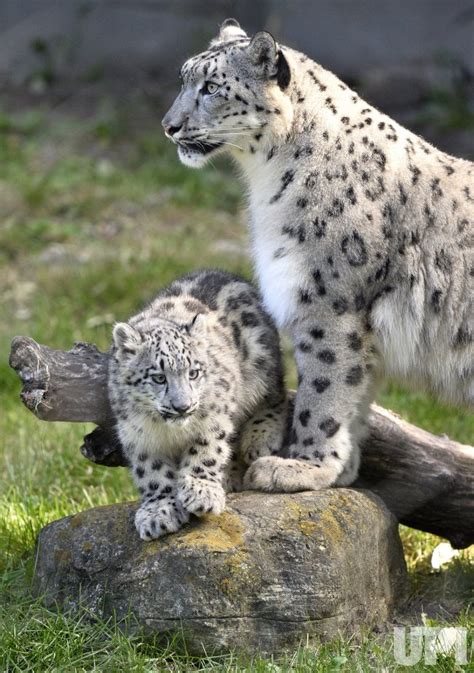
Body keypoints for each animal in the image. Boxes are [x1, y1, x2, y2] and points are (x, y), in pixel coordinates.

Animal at [108, 270, 286, 540]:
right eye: (158, 377)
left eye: (193, 373)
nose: (182, 406)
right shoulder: (137, 435)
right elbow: (151, 471)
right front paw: (159, 511)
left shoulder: (214, 416)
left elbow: (207, 450)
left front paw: (201, 492)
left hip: (262, 365)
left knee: (277, 395)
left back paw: (259, 437)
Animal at [161, 18, 472, 490]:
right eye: (182, 79)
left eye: (212, 87)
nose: (169, 126)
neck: (266, 185)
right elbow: (354, 395)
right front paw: (341, 471)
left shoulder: (329, 307)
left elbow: (323, 392)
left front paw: (301, 466)